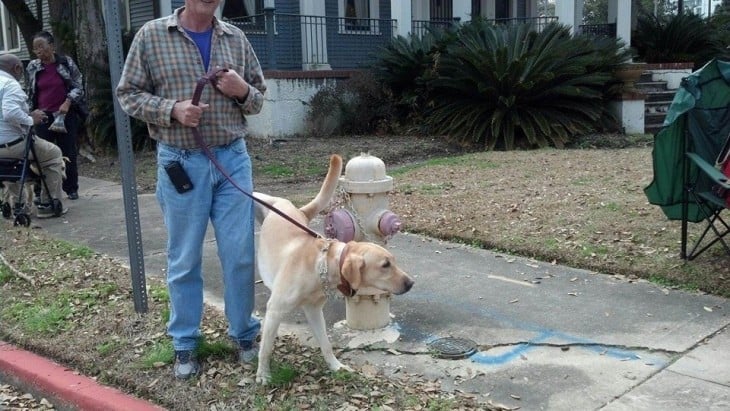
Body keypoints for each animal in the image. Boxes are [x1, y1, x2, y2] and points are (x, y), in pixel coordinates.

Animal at [253, 154, 412, 386]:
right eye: (385, 265)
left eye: (394, 261)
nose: (411, 283)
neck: (322, 265)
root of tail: (297, 209)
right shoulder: (275, 310)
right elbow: (265, 348)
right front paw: (263, 374)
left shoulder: (313, 310)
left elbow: (326, 344)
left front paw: (336, 366)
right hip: (271, 204)